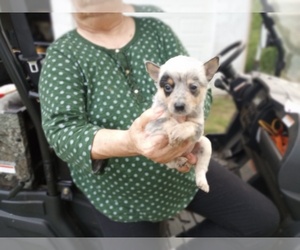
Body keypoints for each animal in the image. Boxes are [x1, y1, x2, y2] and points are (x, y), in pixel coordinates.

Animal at [145, 55, 218, 192]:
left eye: (193, 87)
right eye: (167, 87)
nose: (179, 106)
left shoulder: (199, 127)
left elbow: (189, 125)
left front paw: (179, 131)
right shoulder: (151, 124)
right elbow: (167, 120)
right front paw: (174, 128)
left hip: (205, 144)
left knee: (201, 168)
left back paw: (202, 182)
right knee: (171, 163)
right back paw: (180, 160)